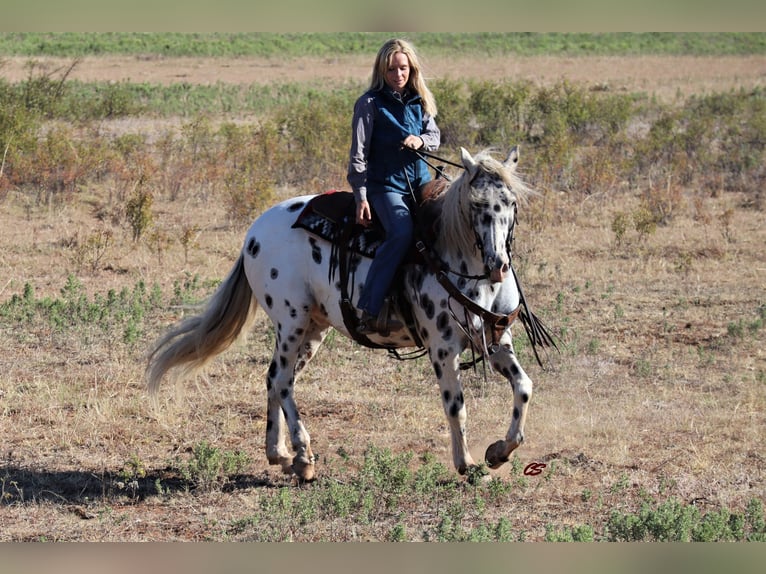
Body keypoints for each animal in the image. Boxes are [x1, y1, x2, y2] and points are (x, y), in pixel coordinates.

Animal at [146, 146, 552, 484]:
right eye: (477, 206)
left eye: (510, 202)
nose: (498, 264)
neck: (451, 253)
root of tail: (253, 233)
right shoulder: (443, 347)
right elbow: (456, 406)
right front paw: (467, 465)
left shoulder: (497, 340)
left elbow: (524, 387)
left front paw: (498, 451)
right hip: (290, 322)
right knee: (282, 381)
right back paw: (303, 457)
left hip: (313, 328)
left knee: (274, 379)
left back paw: (280, 454)